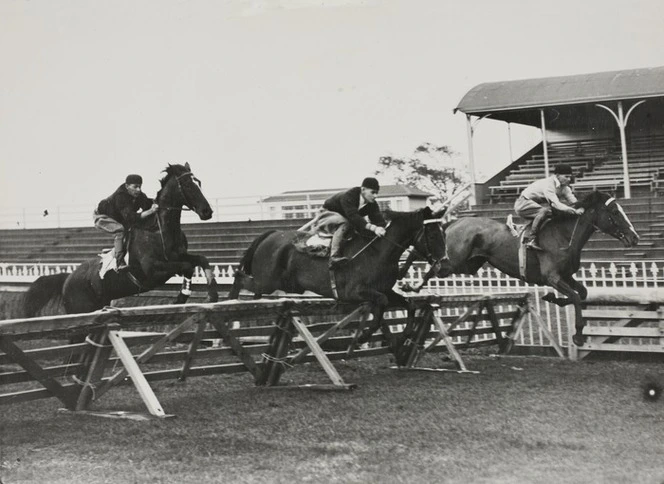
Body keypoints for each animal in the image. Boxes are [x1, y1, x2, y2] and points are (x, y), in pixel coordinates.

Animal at [23, 161, 219, 316]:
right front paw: (181, 298)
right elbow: (186, 266)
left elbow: (201, 259)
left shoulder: (178, 256)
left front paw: (212, 294)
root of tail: (67, 278)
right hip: (79, 308)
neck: (159, 230)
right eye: (187, 184)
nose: (207, 212)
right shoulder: (153, 270)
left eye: (198, 183)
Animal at [228, 206, 446, 354]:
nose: (442, 263)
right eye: (432, 236)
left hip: (276, 283)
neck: (379, 252)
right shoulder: (356, 292)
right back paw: (230, 303)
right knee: (240, 277)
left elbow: (408, 304)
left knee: (251, 287)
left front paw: (404, 337)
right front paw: (364, 336)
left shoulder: (385, 290)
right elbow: (381, 305)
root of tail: (271, 233)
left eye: (443, 233)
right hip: (268, 281)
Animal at [400, 191, 640, 346]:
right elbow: (575, 297)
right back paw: (410, 284)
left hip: (468, 265)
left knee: (426, 257)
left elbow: (581, 294)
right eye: (615, 212)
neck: (564, 236)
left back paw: (407, 278)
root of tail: (455, 222)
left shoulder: (566, 276)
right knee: (429, 261)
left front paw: (552, 299)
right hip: (453, 261)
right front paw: (579, 334)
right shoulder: (552, 277)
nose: (635, 238)